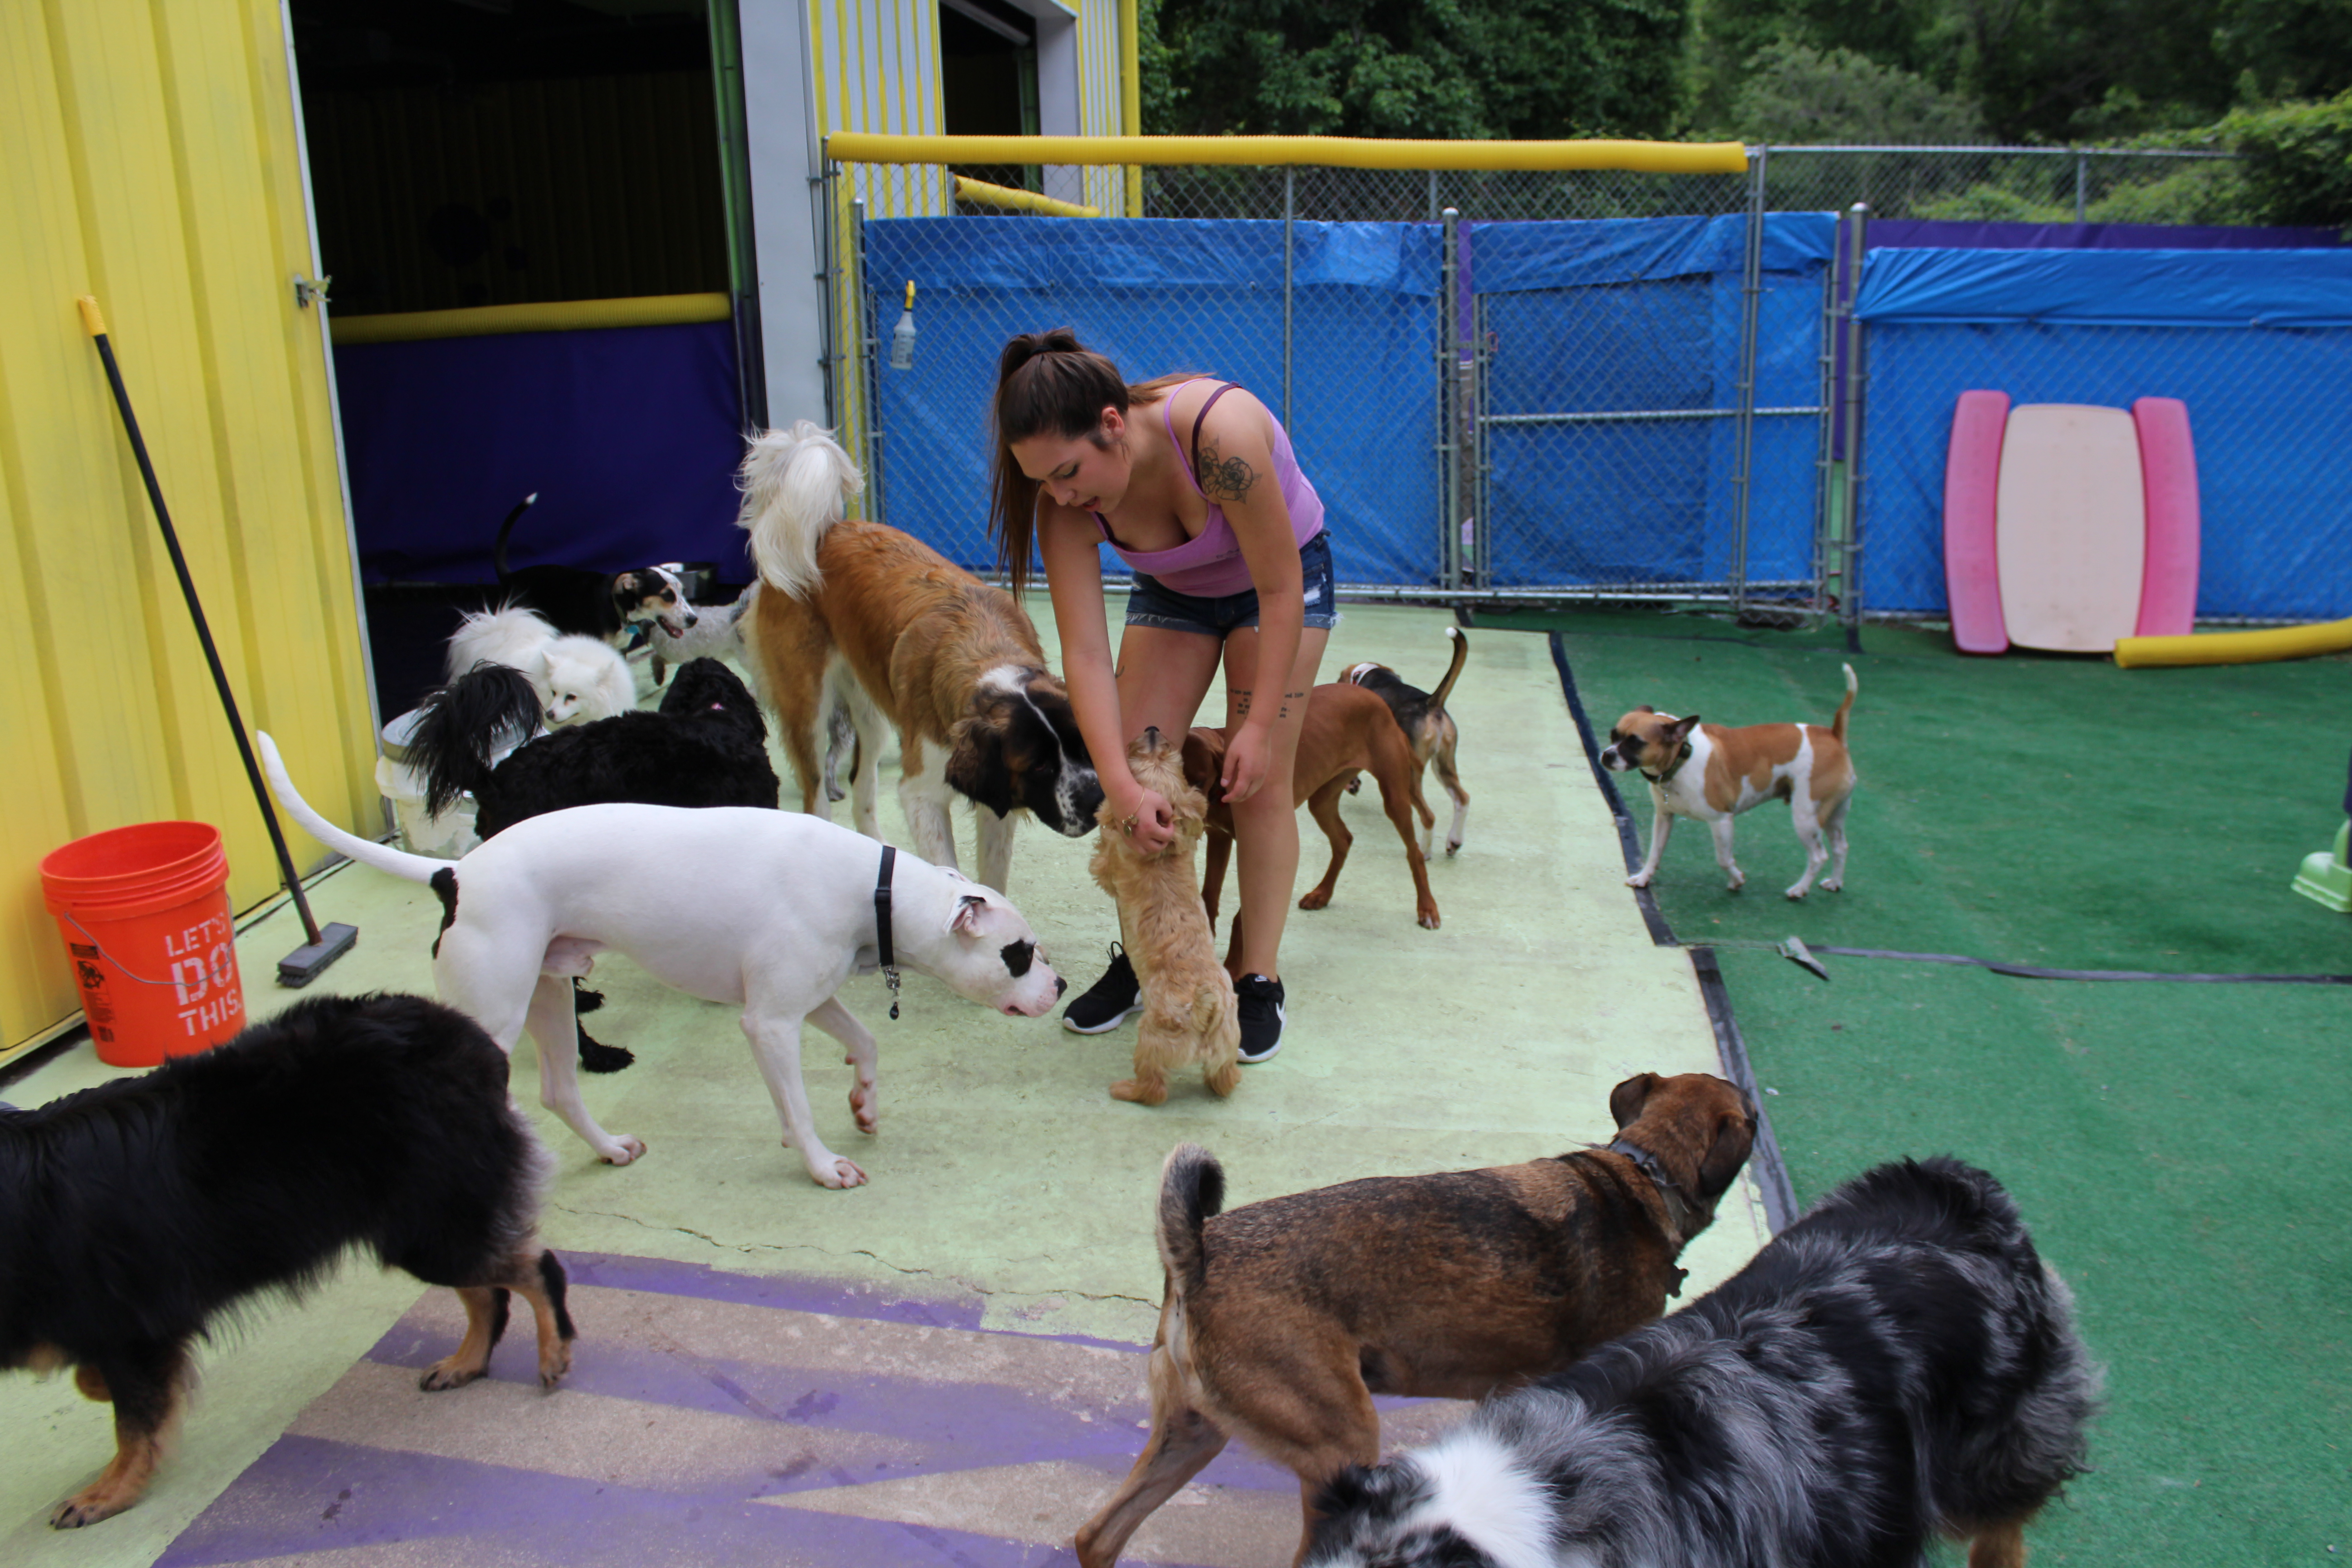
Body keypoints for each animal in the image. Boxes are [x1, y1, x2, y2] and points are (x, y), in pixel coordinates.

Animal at [7, 1001, 576, 1523]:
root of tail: (472, 1042)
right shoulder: (119, 1326)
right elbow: (106, 1384)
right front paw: (101, 1394)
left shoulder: (132, 1327)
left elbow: (131, 1424)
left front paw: (108, 1492)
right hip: (427, 1227)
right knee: (490, 1293)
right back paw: (467, 1363)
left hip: (432, 1231)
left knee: (538, 1268)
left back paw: (552, 1351)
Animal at [1091, 729, 1251, 1105]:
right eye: (1172, 757)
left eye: (1143, 760)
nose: (1152, 730)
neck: (1165, 853)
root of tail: (1208, 1009)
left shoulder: (1112, 864)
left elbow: (1103, 856)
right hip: (1226, 1046)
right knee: (1223, 1077)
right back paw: (1225, 1082)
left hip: (1151, 1041)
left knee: (1154, 1088)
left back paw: (1127, 1090)